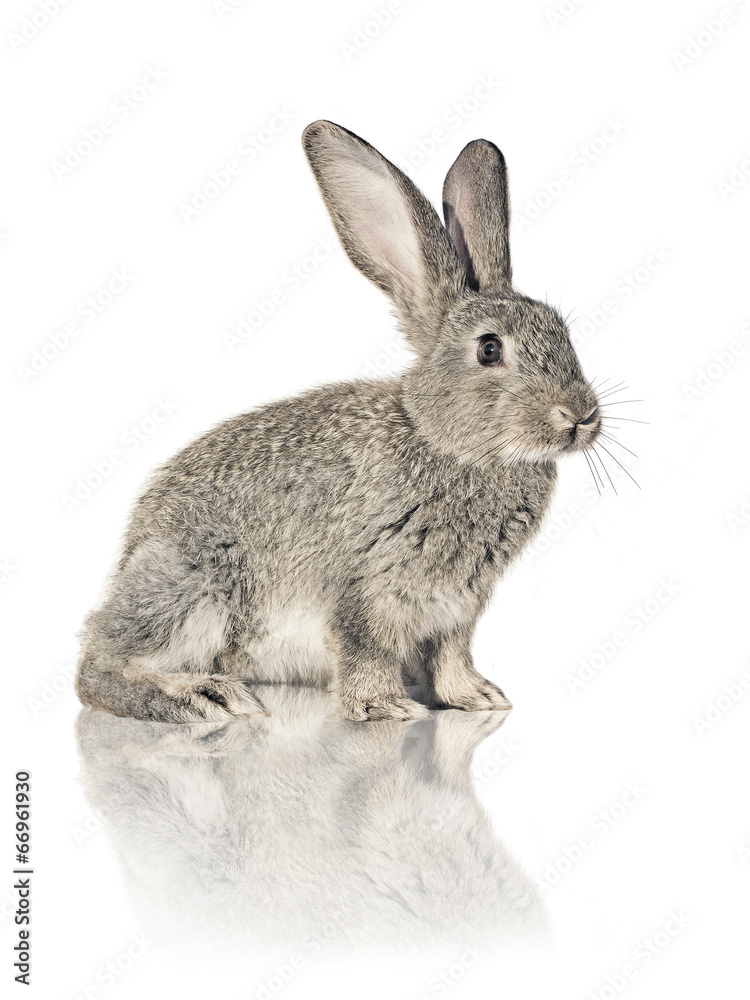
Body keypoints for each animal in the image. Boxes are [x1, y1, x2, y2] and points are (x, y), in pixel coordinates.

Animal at [76, 120, 602, 724]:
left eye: (562, 329)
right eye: (490, 349)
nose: (582, 415)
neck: (441, 439)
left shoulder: (457, 606)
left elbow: (451, 655)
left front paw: (477, 698)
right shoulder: (362, 585)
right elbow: (364, 645)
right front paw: (386, 708)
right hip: (193, 584)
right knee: (99, 668)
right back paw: (202, 696)